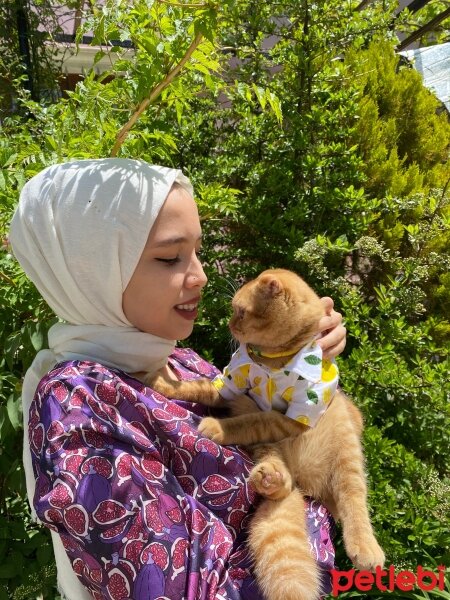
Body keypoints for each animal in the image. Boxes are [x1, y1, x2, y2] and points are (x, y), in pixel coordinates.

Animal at [149, 270, 384, 600]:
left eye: (241, 311)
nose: (229, 324)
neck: (272, 361)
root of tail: (303, 479)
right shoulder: (232, 388)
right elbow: (198, 386)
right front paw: (164, 383)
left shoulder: (294, 416)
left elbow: (253, 420)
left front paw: (216, 427)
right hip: (269, 449)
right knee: (284, 484)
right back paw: (270, 479)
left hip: (346, 451)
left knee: (352, 500)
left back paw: (367, 549)